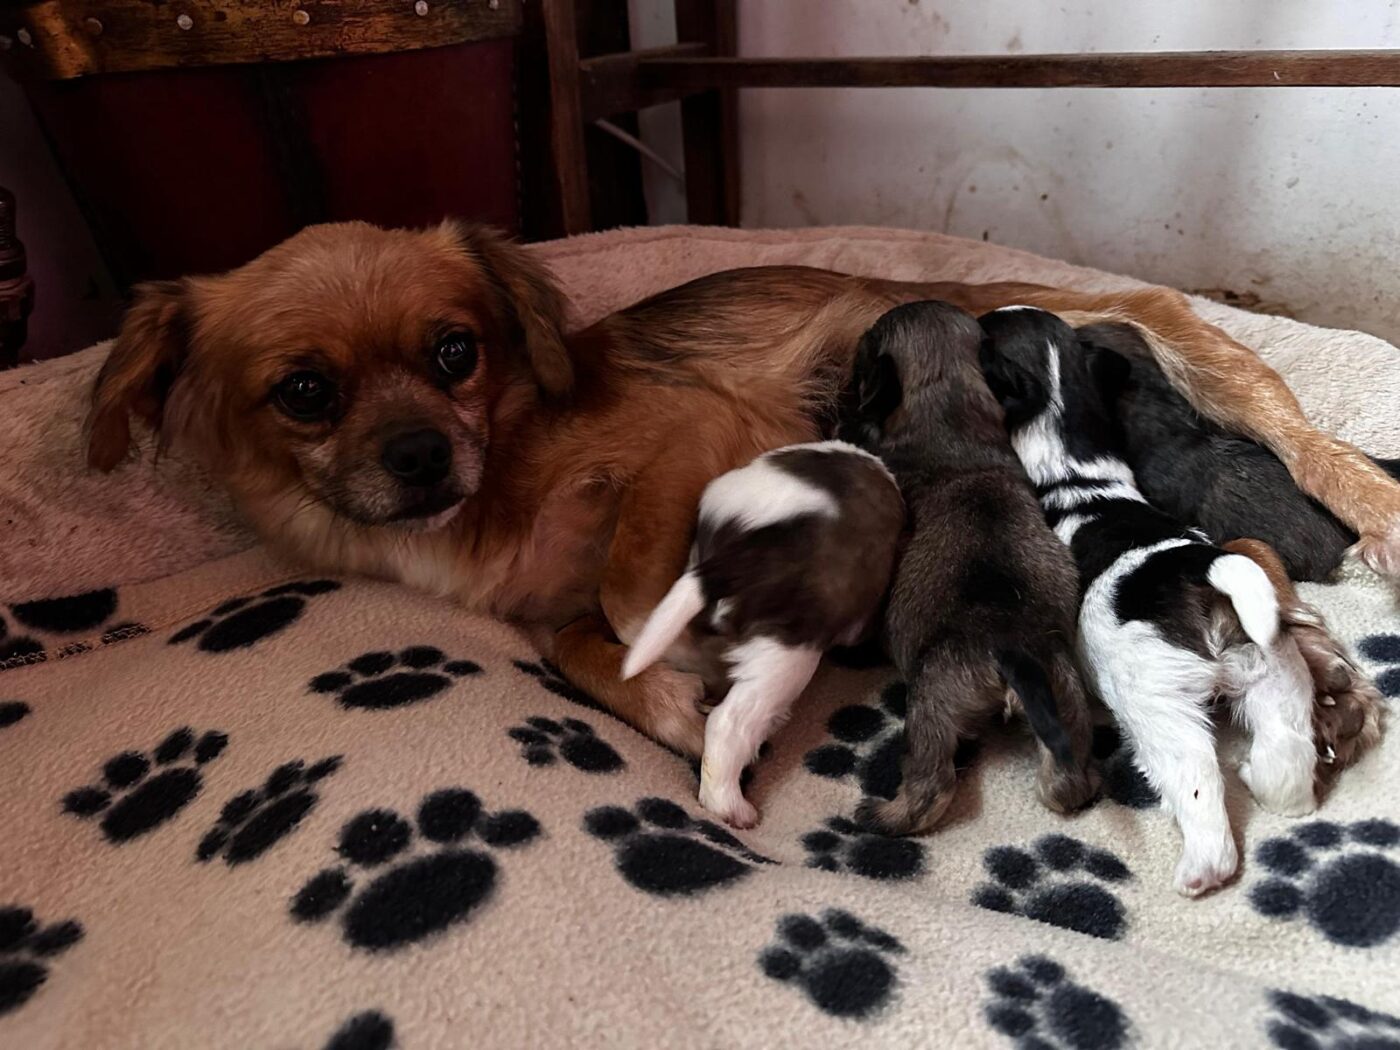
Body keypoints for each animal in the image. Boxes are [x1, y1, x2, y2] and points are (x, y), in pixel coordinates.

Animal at [84, 220, 1399, 758]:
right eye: (303, 392)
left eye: (456, 351)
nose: (419, 458)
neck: (495, 468)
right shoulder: (535, 611)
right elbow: (578, 648)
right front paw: (666, 702)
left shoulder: (692, 434)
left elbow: (626, 586)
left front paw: (681, 648)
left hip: (1220, 380)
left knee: (1301, 468)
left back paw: (1369, 528)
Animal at [837, 301, 1098, 835]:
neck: (947, 410)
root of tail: (1007, 645)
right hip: (1066, 694)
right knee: (1065, 783)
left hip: (931, 703)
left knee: (931, 788)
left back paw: (881, 815)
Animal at [980, 306, 1319, 896]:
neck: (1074, 473)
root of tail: (1200, 568)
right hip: (1272, 665)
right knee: (1287, 757)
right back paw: (1268, 782)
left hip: (1156, 704)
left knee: (1199, 789)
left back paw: (1199, 870)